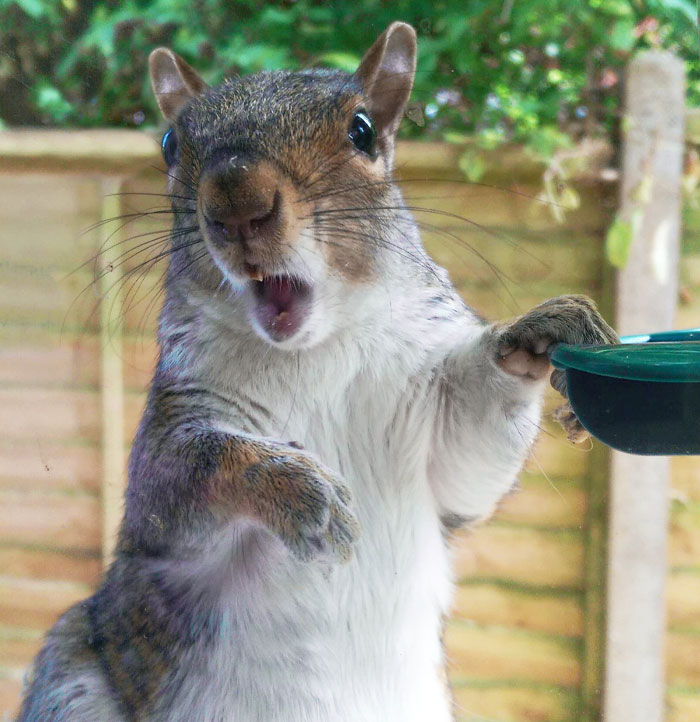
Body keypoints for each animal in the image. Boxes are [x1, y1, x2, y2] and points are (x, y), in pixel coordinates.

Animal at [15, 21, 616, 720]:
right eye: (169, 145)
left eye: (362, 131)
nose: (237, 201)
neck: (313, 351)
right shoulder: (176, 420)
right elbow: (180, 476)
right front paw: (300, 491)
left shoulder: (435, 426)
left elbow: (468, 463)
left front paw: (541, 331)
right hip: (73, 680)